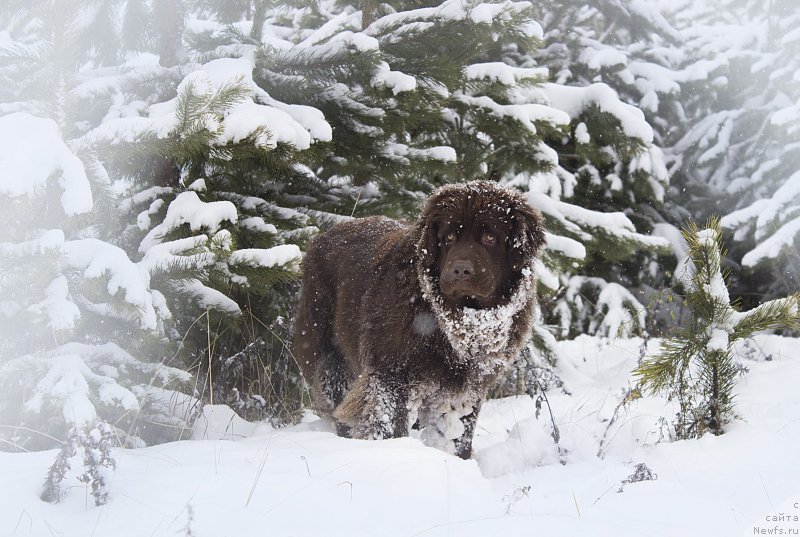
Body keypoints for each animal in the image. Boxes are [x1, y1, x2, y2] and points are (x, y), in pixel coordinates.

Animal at [296, 180, 548, 456]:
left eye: (490, 237)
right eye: (448, 237)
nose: (460, 270)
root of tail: (322, 236)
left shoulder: (466, 387)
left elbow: (459, 434)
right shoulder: (390, 373)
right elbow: (388, 423)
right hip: (327, 349)